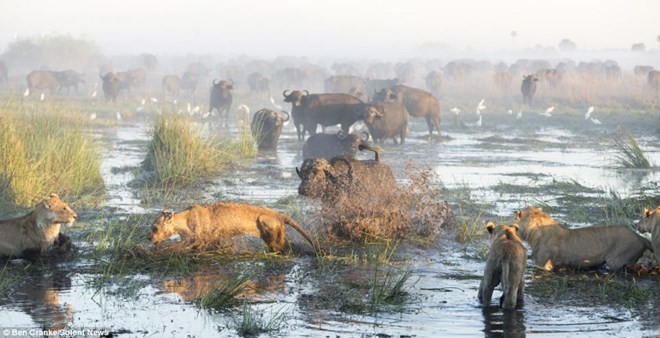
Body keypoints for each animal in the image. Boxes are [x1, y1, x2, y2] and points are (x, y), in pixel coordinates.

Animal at [153, 201, 322, 254]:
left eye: (154, 228)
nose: (149, 238)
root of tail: (280, 215)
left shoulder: (197, 238)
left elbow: (177, 247)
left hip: (267, 226)